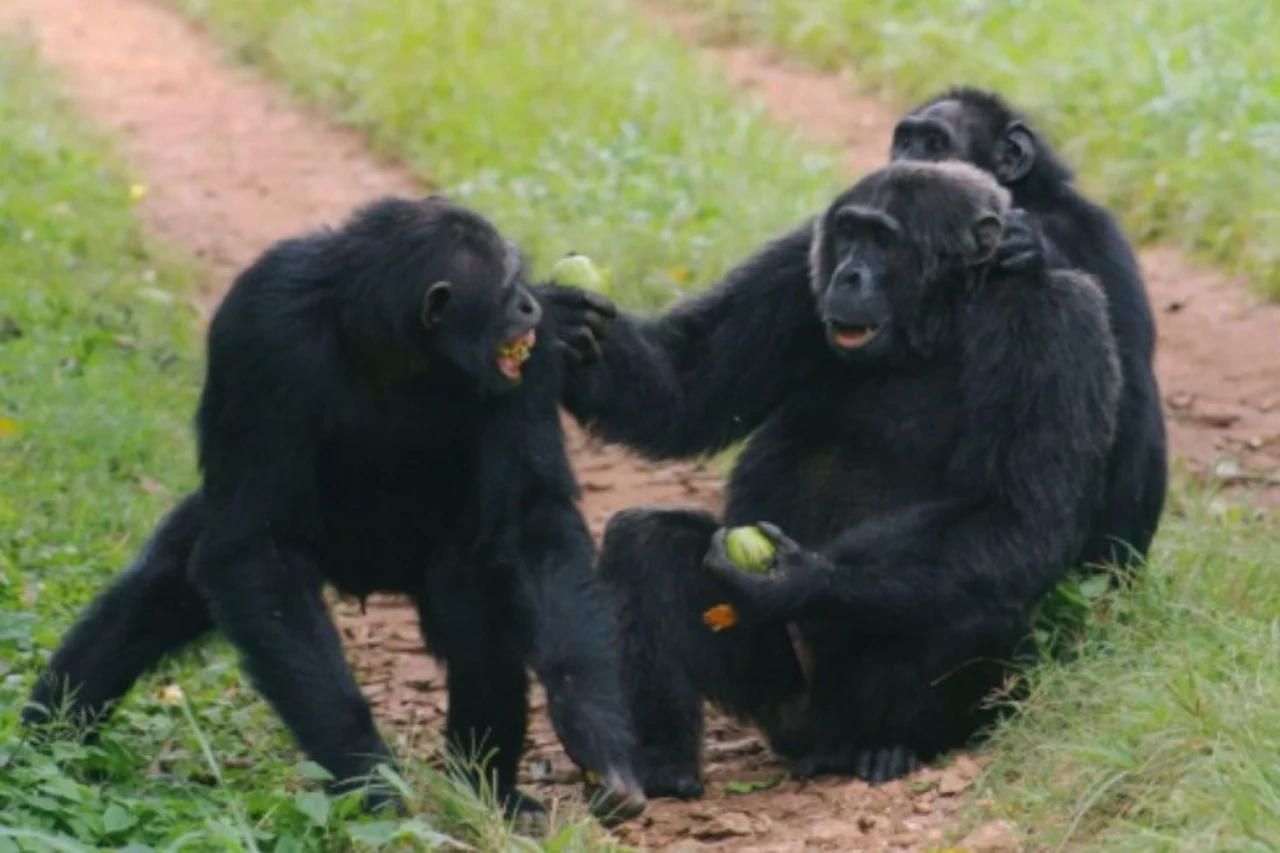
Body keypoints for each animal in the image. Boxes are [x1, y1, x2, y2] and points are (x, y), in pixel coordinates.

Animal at [27, 194, 650, 824]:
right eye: (507, 283)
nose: (529, 303)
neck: (392, 344)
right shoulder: (264, 325)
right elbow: (256, 545)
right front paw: (369, 777)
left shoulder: (529, 362)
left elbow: (531, 520)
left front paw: (596, 737)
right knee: (154, 594)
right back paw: (49, 743)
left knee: (473, 595)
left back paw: (490, 788)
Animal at [560, 161, 1121, 799]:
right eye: (850, 232)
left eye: (884, 239)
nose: (850, 273)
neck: (943, 317)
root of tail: (815, 736)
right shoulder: (792, 268)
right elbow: (685, 383)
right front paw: (565, 323)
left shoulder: (1057, 325)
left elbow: (1013, 512)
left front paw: (796, 578)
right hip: (776, 697)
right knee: (644, 541)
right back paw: (662, 765)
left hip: (856, 704)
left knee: (974, 599)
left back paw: (893, 748)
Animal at [890, 86, 1172, 568]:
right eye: (904, 141)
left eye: (935, 143)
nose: (903, 165)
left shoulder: (1103, 235)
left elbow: (1129, 360)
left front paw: (1032, 246)